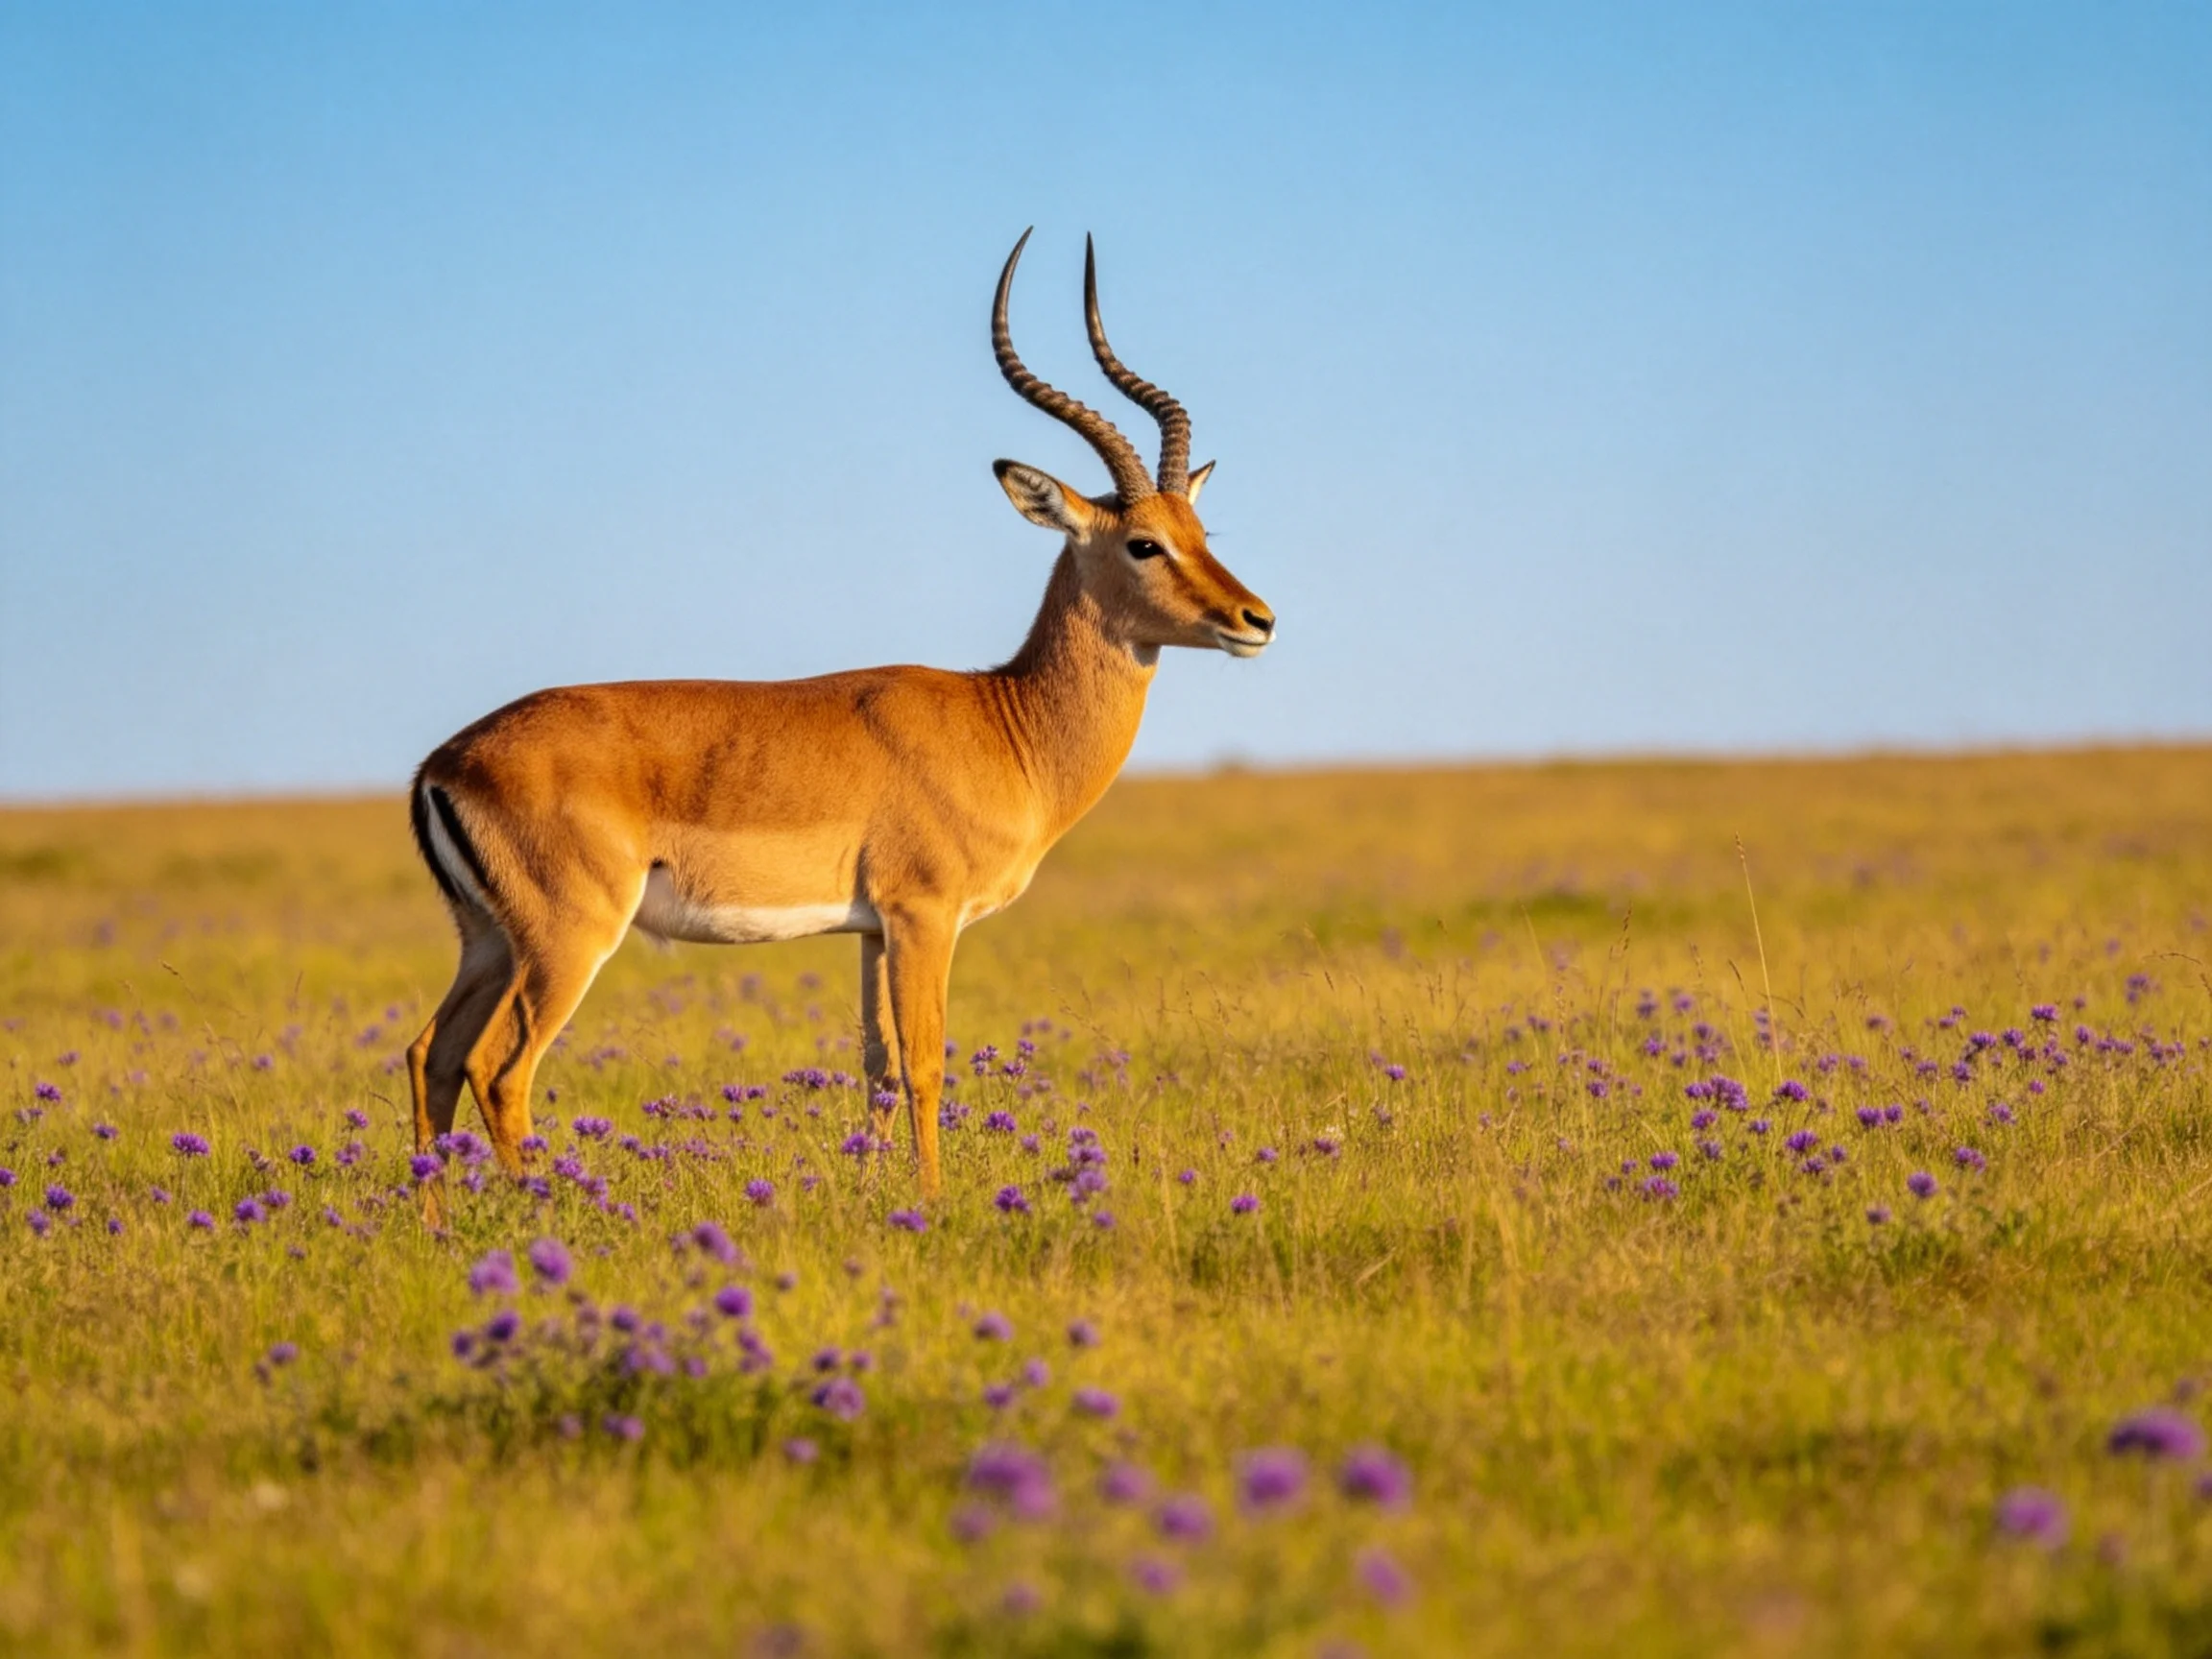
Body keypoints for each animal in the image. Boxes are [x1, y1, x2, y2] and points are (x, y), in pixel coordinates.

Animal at [405, 230, 1274, 1215]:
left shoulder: (868, 931)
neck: (1004, 725)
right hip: (567, 937)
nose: (1256, 620)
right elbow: (926, 1064)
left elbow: (877, 1070)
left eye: (1200, 530)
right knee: (499, 1070)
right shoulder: (922, 915)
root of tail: (442, 763)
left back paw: (436, 1224)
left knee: (430, 1056)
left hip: (487, 939)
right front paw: (933, 1207)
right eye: (1143, 543)